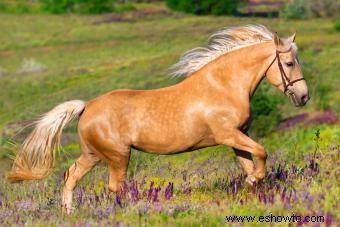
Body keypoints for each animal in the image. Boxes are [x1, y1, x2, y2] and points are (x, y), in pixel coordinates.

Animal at [9, 24, 310, 213]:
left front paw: (251, 191)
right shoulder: (228, 135)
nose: (304, 96)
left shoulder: (238, 137)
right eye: (289, 63)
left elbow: (250, 164)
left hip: (94, 154)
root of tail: (87, 106)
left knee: (70, 176)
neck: (224, 85)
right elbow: (261, 153)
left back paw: (69, 212)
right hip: (118, 155)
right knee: (115, 186)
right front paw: (253, 184)